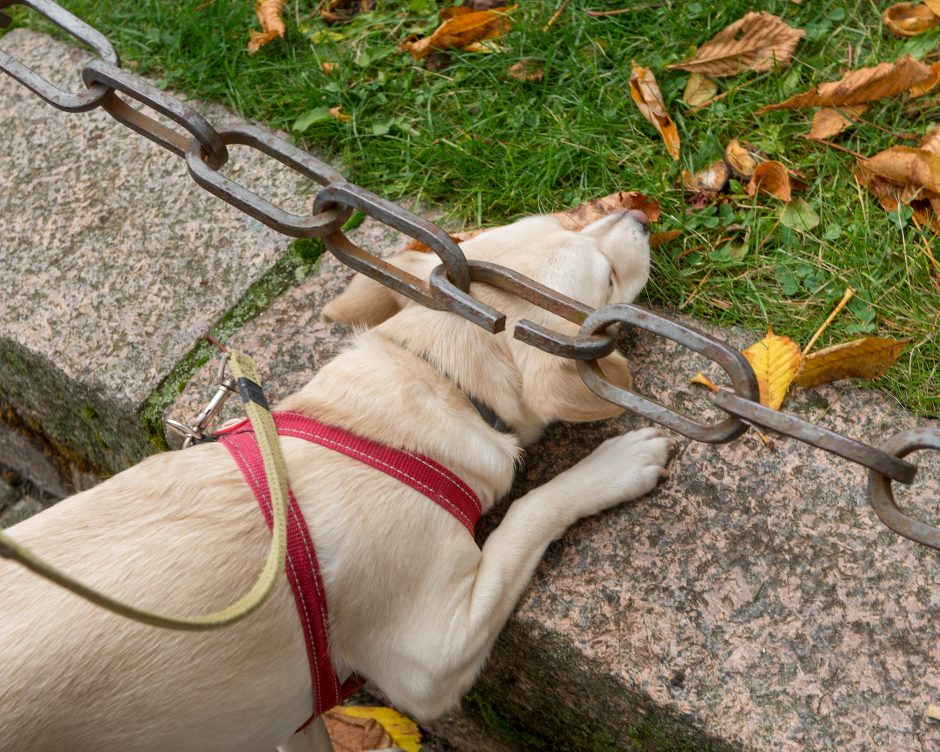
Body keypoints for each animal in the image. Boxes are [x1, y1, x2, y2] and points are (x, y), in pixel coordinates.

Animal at [0, 210, 668, 752]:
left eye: (560, 218)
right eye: (609, 277)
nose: (640, 214)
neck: (432, 377)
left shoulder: (290, 724)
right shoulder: (432, 656)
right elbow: (529, 514)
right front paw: (615, 464)